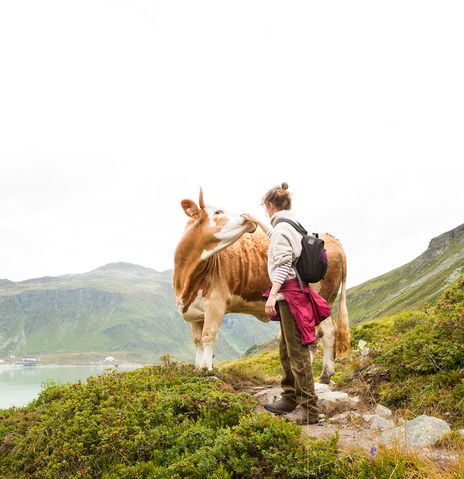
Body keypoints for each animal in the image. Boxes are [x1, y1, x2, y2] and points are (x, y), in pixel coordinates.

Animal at [172, 189, 350, 384]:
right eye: (218, 211)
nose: (247, 218)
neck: (186, 281)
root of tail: (331, 238)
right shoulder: (195, 312)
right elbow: (197, 341)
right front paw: (197, 370)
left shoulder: (216, 303)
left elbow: (208, 336)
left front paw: (207, 371)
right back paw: (324, 375)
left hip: (320, 298)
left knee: (324, 333)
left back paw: (321, 375)